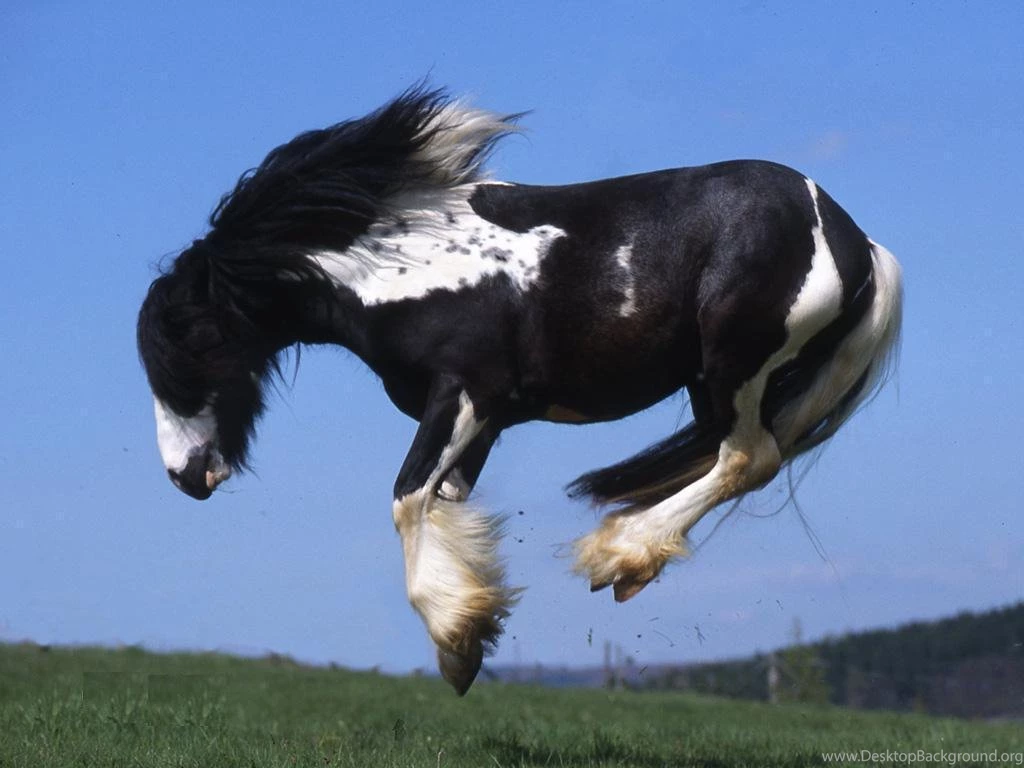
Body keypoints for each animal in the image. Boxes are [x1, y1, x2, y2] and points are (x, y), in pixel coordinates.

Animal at [137, 87, 902, 695]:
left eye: (188, 350)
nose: (184, 476)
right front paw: (471, 630)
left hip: (737, 366)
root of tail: (859, 243)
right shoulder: (487, 419)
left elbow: (407, 496)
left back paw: (617, 556)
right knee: (727, 459)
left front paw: (457, 640)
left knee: (748, 459)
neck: (399, 264)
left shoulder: (466, 393)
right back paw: (628, 558)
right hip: (711, 384)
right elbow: (444, 502)